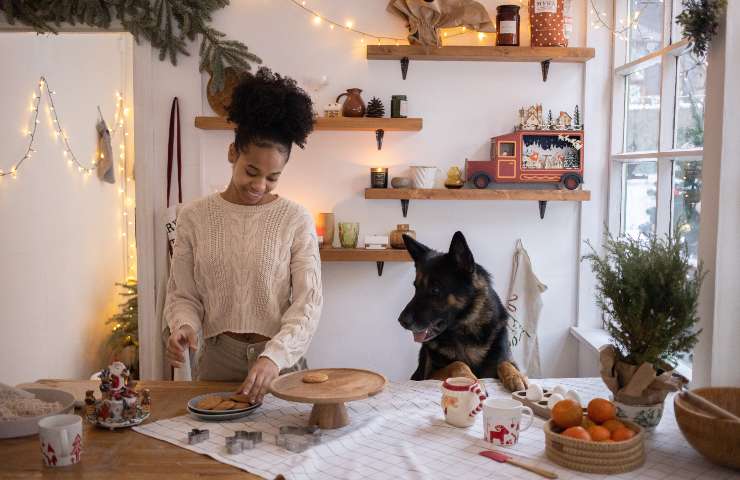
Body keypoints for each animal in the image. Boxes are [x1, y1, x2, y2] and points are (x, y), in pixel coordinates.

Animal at [398, 231, 528, 392]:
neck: (466, 331)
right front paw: (470, 380)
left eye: (435, 290)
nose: (401, 321)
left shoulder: (505, 359)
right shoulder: (428, 375)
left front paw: (515, 376)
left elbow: (505, 363)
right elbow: (458, 363)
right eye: (416, 288)